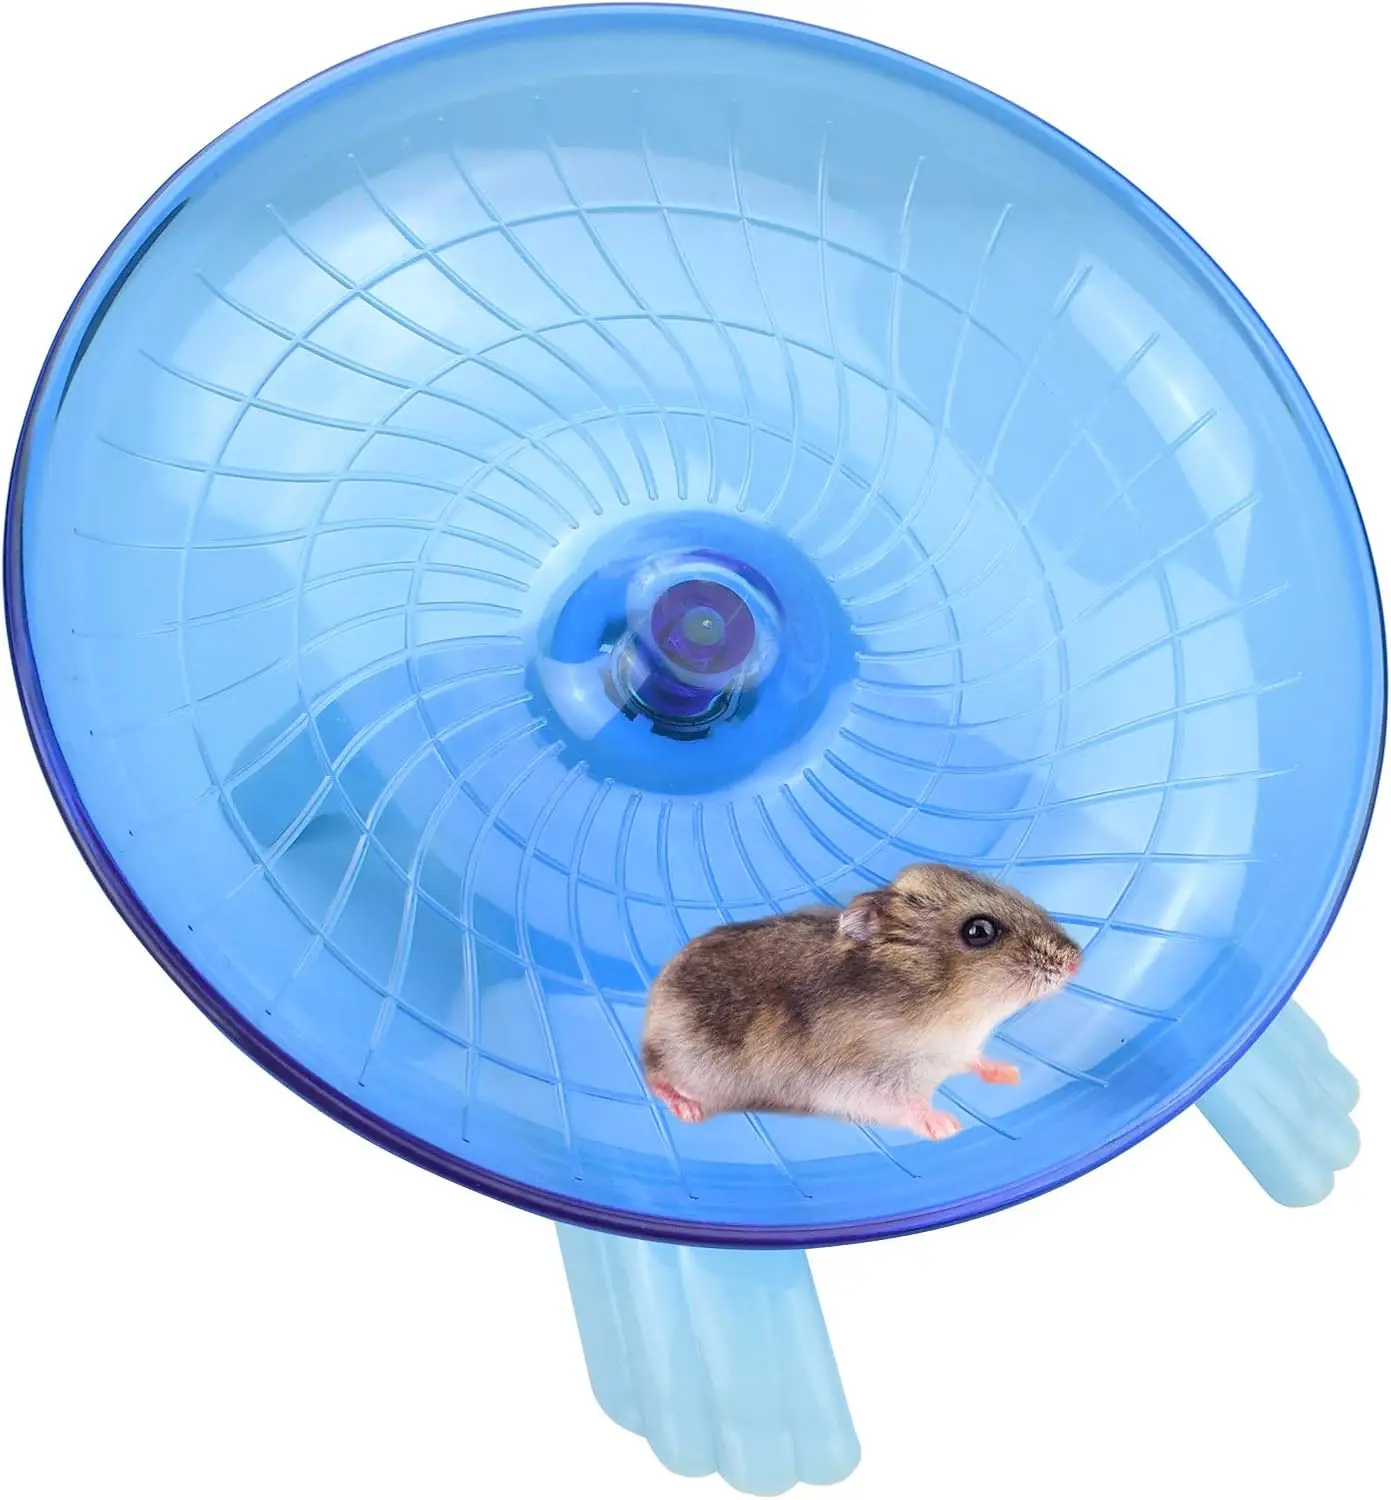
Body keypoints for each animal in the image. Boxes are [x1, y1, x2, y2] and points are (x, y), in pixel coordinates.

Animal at [641, 862, 1082, 1139]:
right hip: (690, 1063)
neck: (949, 1014)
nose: (1076, 960)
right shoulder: (863, 1079)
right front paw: (946, 1126)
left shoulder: (958, 1050)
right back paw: (688, 1112)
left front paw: (1011, 1073)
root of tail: (646, 1022)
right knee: (655, 1078)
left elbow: (976, 1060)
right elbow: (908, 1106)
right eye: (979, 931)